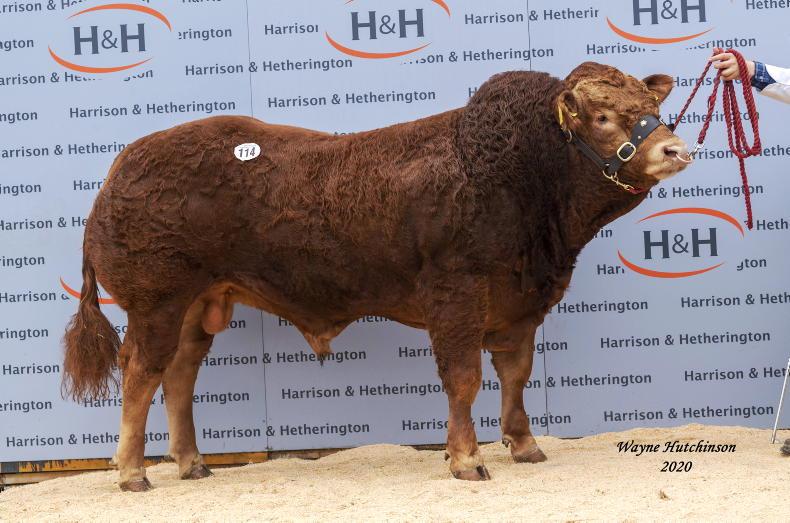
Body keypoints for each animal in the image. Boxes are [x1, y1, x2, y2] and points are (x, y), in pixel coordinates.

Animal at [63, 62, 689, 491]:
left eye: (650, 106)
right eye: (602, 116)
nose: (675, 148)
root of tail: (119, 169)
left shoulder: (519, 304)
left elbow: (515, 375)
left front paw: (524, 445)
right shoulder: (456, 295)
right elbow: (464, 379)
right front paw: (466, 459)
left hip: (200, 303)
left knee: (179, 376)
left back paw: (192, 463)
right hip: (157, 301)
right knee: (141, 372)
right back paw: (132, 472)